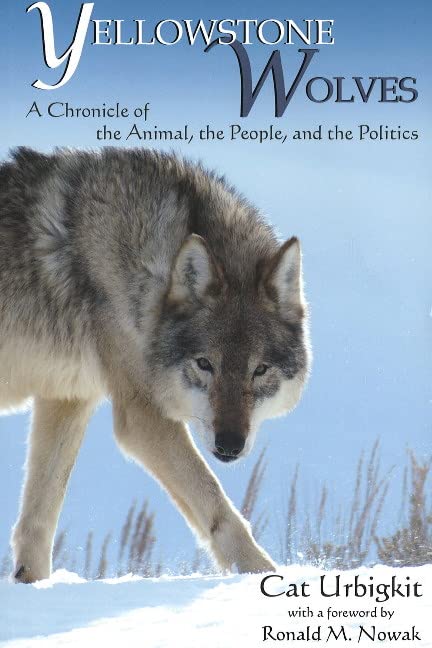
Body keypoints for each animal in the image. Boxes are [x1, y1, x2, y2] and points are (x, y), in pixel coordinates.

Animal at [0, 147, 311, 583]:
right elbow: (218, 507)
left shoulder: (67, 396)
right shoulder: (143, 417)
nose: (229, 444)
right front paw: (261, 576)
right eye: (205, 364)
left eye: (259, 369)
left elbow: (38, 520)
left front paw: (32, 583)